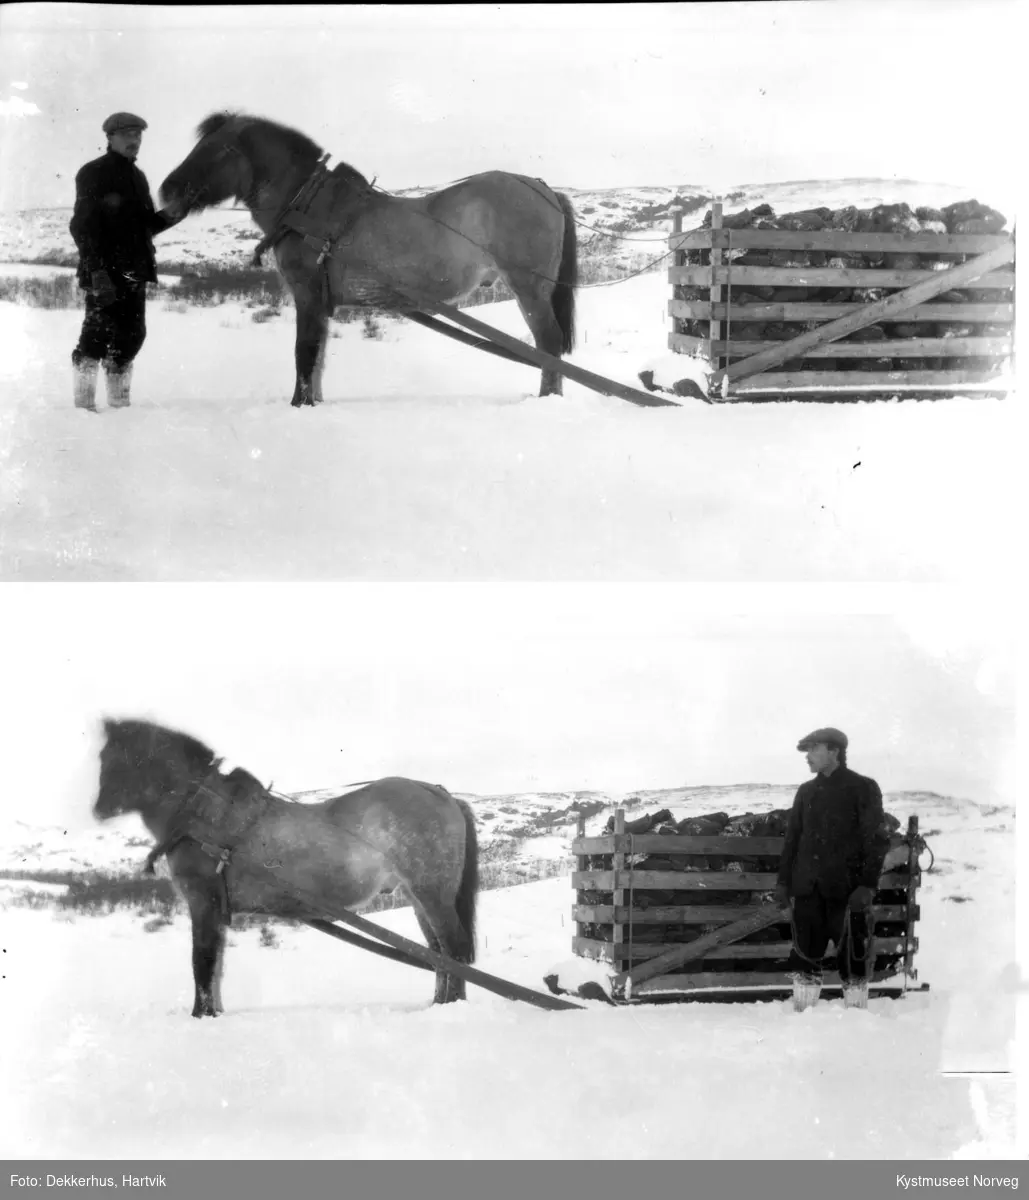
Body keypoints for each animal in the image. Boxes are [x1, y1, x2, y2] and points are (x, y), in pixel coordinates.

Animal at [92, 715, 477, 1017]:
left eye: (117, 758)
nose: (97, 810)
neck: (200, 815)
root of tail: (439, 792)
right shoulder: (215, 907)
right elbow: (215, 968)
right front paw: (214, 1012)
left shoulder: (203, 901)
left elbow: (202, 963)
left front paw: (201, 1015)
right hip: (418, 898)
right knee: (438, 952)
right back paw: (439, 1004)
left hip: (433, 893)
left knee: (453, 949)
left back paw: (452, 1008)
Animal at [160, 114, 578, 410]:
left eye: (217, 149)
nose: (167, 190)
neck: (306, 207)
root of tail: (543, 187)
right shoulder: (320, 300)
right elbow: (318, 357)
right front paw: (313, 402)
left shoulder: (307, 294)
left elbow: (304, 352)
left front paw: (299, 405)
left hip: (529, 287)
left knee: (548, 341)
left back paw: (548, 400)